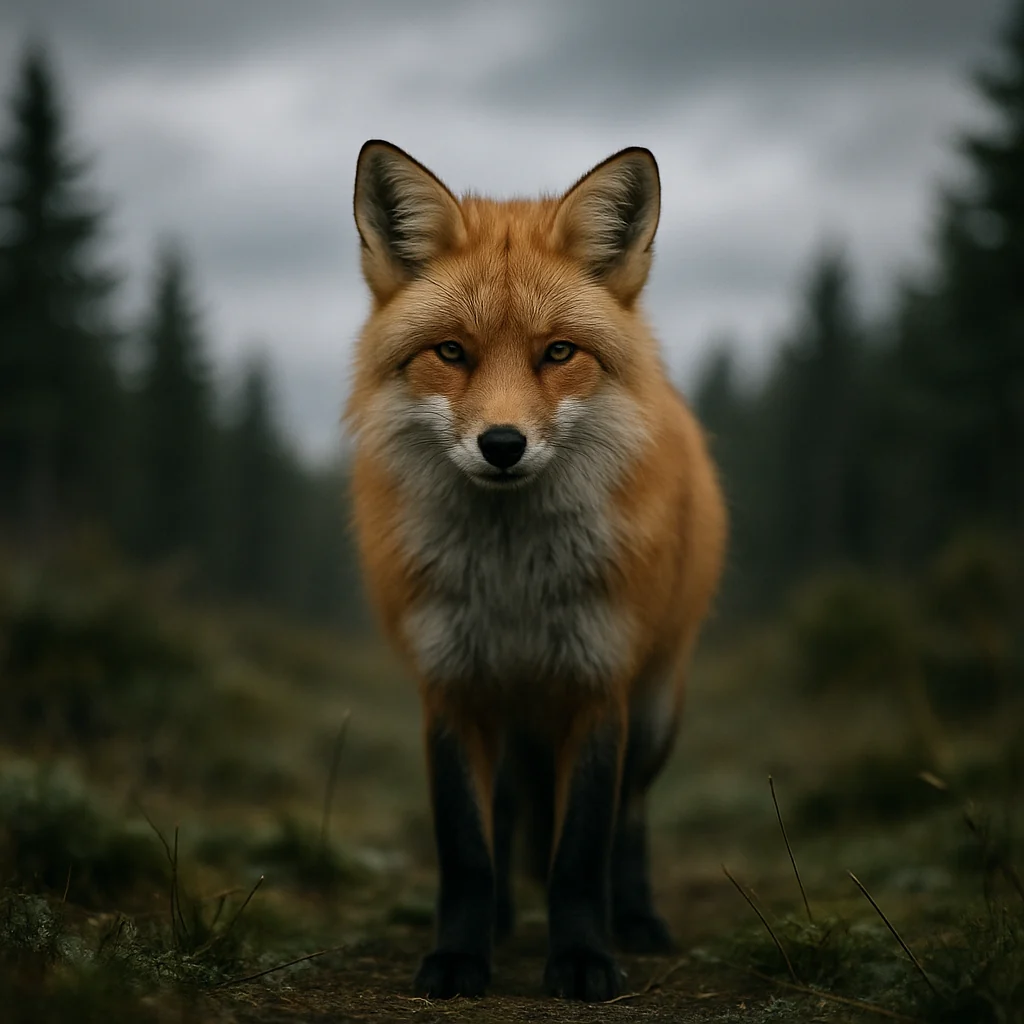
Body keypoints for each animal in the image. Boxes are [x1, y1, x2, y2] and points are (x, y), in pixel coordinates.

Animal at [344, 140, 727, 1002]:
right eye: (452, 352)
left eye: (558, 353)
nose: (502, 445)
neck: (512, 582)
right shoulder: (450, 686)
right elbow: (467, 850)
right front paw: (459, 955)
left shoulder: (598, 683)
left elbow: (580, 851)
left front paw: (583, 956)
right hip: (514, 718)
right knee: (513, 813)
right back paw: (502, 924)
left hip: (656, 712)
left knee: (631, 818)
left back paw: (638, 919)